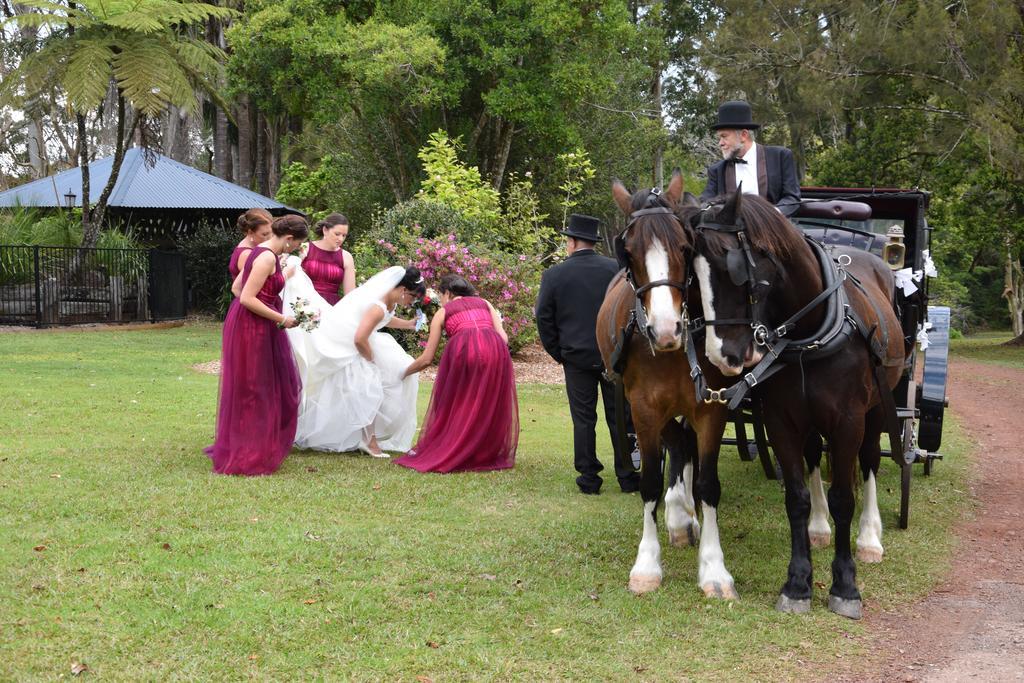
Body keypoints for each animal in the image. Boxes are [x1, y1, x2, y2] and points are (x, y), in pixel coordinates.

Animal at [593, 172, 745, 598]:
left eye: (684, 246)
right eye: (627, 252)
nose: (665, 330)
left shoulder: (711, 406)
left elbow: (708, 485)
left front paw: (714, 569)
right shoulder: (644, 408)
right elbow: (649, 484)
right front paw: (647, 565)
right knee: (677, 444)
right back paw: (678, 515)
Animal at [684, 188, 909, 618]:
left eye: (731, 268)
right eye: (692, 276)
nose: (722, 356)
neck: (810, 331)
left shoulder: (848, 422)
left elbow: (844, 498)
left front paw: (845, 585)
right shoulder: (782, 421)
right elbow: (796, 498)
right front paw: (798, 582)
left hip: (879, 407)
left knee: (870, 461)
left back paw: (870, 537)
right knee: (814, 456)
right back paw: (820, 528)